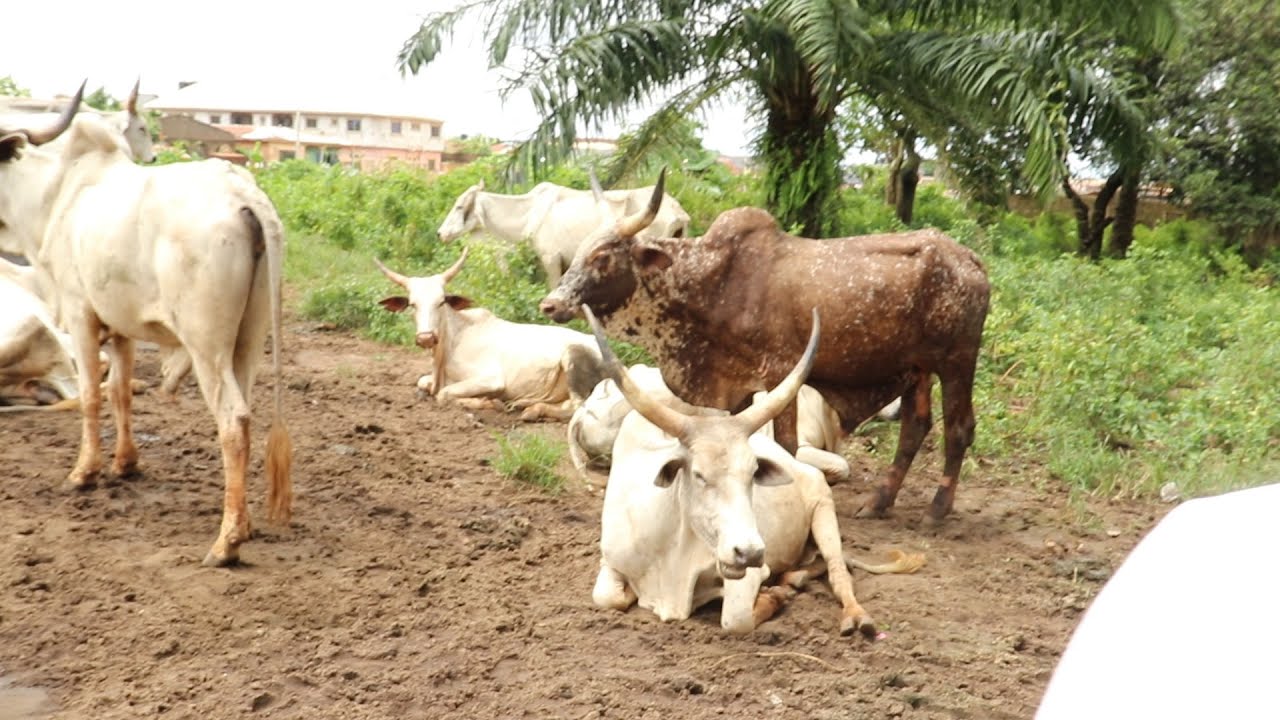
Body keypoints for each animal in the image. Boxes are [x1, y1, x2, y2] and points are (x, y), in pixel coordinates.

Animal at [0, 108, 292, 567]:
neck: (58, 196)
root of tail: (242, 195)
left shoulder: (81, 314)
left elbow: (91, 394)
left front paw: (84, 472)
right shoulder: (122, 327)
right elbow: (121, 392)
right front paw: (125, 463)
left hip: (206, 346)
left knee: (233, 419)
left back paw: (226, 542)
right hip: (250, 339)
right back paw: (243, 525)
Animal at [374, 249, 607, 421]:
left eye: (441, 302)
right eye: (413, 305)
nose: (426, 338)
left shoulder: (491, 379)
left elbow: (443, 394)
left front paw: (490, 402)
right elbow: (423, 384)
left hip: (572, 356)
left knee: (577, 406)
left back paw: (532, 410)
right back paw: (522, 404)